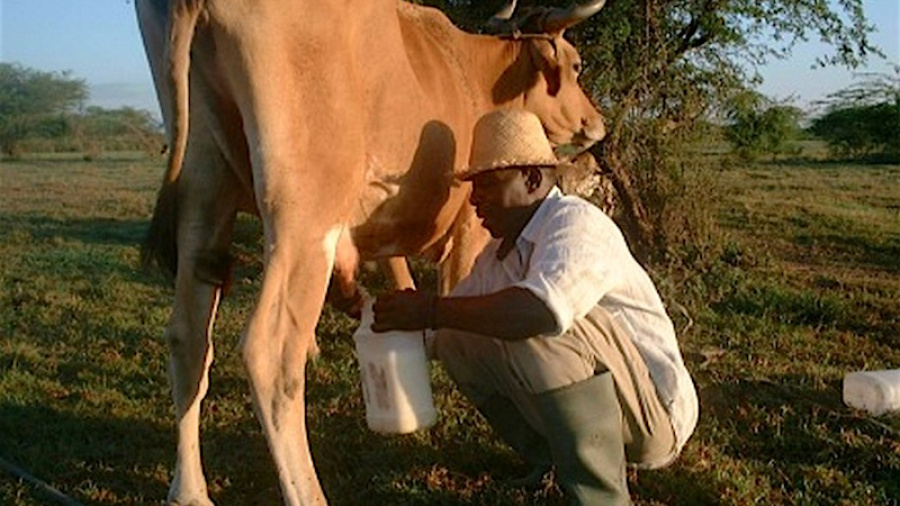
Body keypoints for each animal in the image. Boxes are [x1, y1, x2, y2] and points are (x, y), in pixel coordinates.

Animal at [135, 1, 604, 504]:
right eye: (577, 65)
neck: (472, 74)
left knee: (187, 339)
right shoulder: (469, 225)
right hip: (304, 214)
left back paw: (189, 491)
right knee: (271, 352)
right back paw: (308, 492)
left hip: (204, 195)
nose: (596, 123)